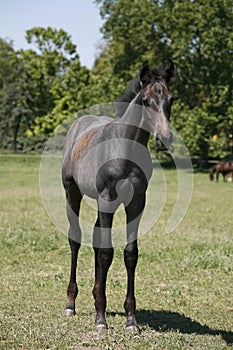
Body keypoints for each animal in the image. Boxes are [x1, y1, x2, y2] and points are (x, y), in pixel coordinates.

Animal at [62, 59, 175, 330]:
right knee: (75, 239)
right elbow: (106, 253)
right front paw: (100, 319)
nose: (164, 139)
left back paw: (94, 295)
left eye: (171, 99)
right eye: (145, 100)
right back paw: (71, 303)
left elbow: (130, 254)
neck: (124, 148)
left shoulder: (136, 202)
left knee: (94, 237)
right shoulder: (108, 199)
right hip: (73, 193)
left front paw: (131, 319)